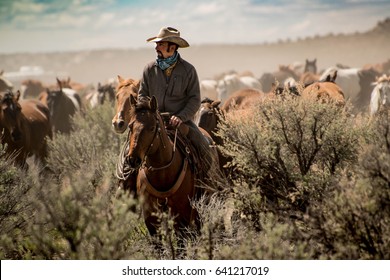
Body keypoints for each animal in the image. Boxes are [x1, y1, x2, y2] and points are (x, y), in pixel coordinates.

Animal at [125, 95, 210, 238]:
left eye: (152, 128)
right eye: (130, 126)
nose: (133, 159)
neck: (162, 174)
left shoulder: (182, 216)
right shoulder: (151, 220)